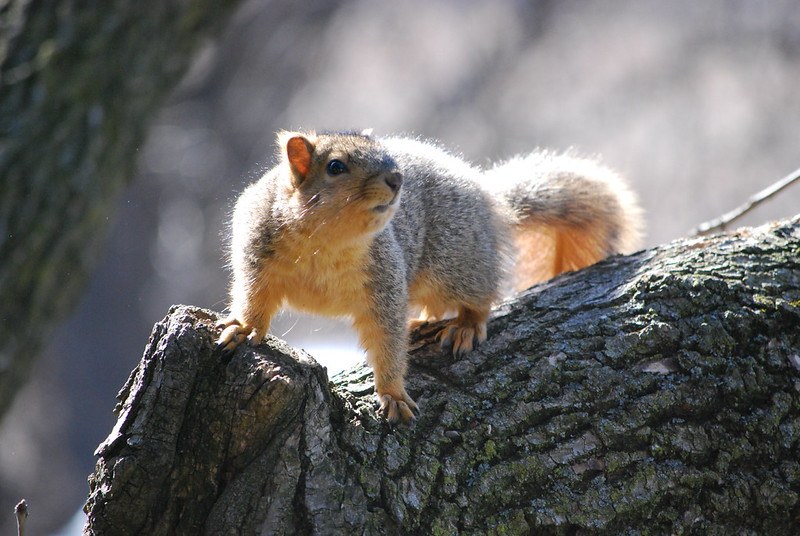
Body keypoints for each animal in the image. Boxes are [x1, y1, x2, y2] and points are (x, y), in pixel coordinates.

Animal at [217, 130, 643, 423]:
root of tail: (488, 203)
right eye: (335, 166)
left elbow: (387, 339)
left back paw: (465, 326)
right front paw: (242, 328)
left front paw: (392, 394)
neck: (327, 243)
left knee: (480, 298)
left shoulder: (385, 282)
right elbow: (253, 298)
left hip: (455, 263)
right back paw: (423, 322)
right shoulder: (256, 260)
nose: (397, 178)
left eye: (386, 157)